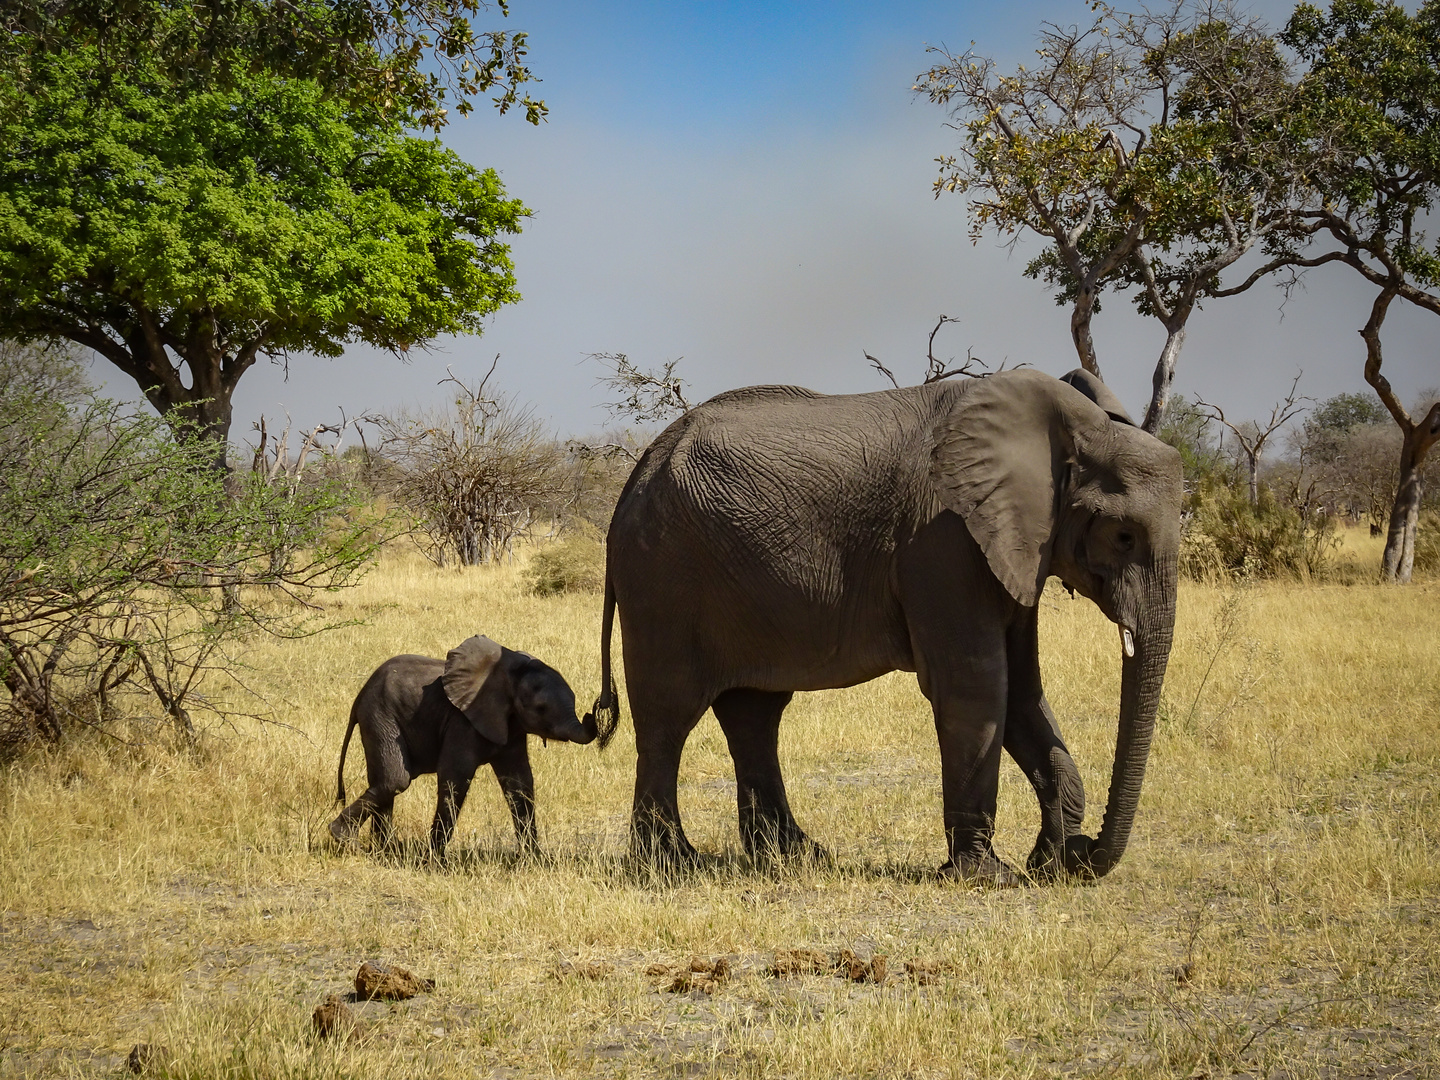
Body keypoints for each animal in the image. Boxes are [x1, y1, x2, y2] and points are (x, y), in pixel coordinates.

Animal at [328, 639, 596, 858]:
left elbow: (519, 783)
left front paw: (534, 858)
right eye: (541, 708)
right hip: (380, 716)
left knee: (384, 782)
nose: (593, 712)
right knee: (395, 780)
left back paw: (385, 850)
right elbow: (455, 777)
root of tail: (360, 695)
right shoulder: (462, 721)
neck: (509, 675)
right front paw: (435, 861)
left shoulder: (511, 726)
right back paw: (346, 840)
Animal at [584, 368, 1180, 881]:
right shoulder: (941, 538)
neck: (1070, 428)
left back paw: (797, 856)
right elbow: (975, 685)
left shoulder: (1013, 544)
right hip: (663, 576)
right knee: (669, 715)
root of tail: (641, 467)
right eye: (1123, 536)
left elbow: (1023, 692)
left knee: (754, 714)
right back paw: (672, 864)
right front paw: (989, 877)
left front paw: (1047, 860)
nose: (1084, 852)